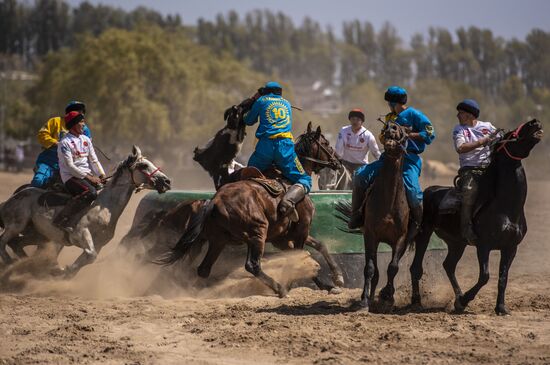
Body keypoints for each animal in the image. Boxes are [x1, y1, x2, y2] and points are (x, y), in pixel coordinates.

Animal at [0, 145, 171, 276]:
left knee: (16, 243)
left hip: (37, 234)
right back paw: (12, 263)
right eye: (143, 166)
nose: (167, 181)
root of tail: (13, 197)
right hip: (17, 225)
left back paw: (26, 265)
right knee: (3, 241)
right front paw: (62, 271)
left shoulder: (99, 244)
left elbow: (88, 259)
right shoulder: (80, 233)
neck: (103, 209)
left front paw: (63, 272)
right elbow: (90, 255)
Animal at [156, 122, 344, 296]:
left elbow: (319, 246)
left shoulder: (283, 238)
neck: (290, 180)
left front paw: (335, 280)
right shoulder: (301, 230)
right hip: (257, 233)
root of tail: (214, 201)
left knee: (202, 269)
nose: (339, 162)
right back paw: (280, 289)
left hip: (218, 241)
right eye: (326, 143)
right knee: (252, 265)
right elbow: (301, 257)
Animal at [336, 120, 414, 310]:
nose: (392, 128)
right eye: (386, 127)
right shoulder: (371, 235)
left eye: (405, 131)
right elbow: (369, 269)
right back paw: (369, 297)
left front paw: (388, 296)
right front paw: (365, 300)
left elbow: (393, 267)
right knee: (375, 271)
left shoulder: (400, 239)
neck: (389, 201)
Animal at [410, 118, 544, 312]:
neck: (506, 208)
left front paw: (500, 308)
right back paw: (416, 301)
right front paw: (465, 300)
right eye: (512, 134)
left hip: (457, 243)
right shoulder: (484, 246)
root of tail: (428, 191)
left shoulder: (511, 247)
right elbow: (485, 276)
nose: (535, 122)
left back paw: (456, 298)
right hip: (424, 234)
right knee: (416, 268)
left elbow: (503, 278)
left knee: (448, 266)